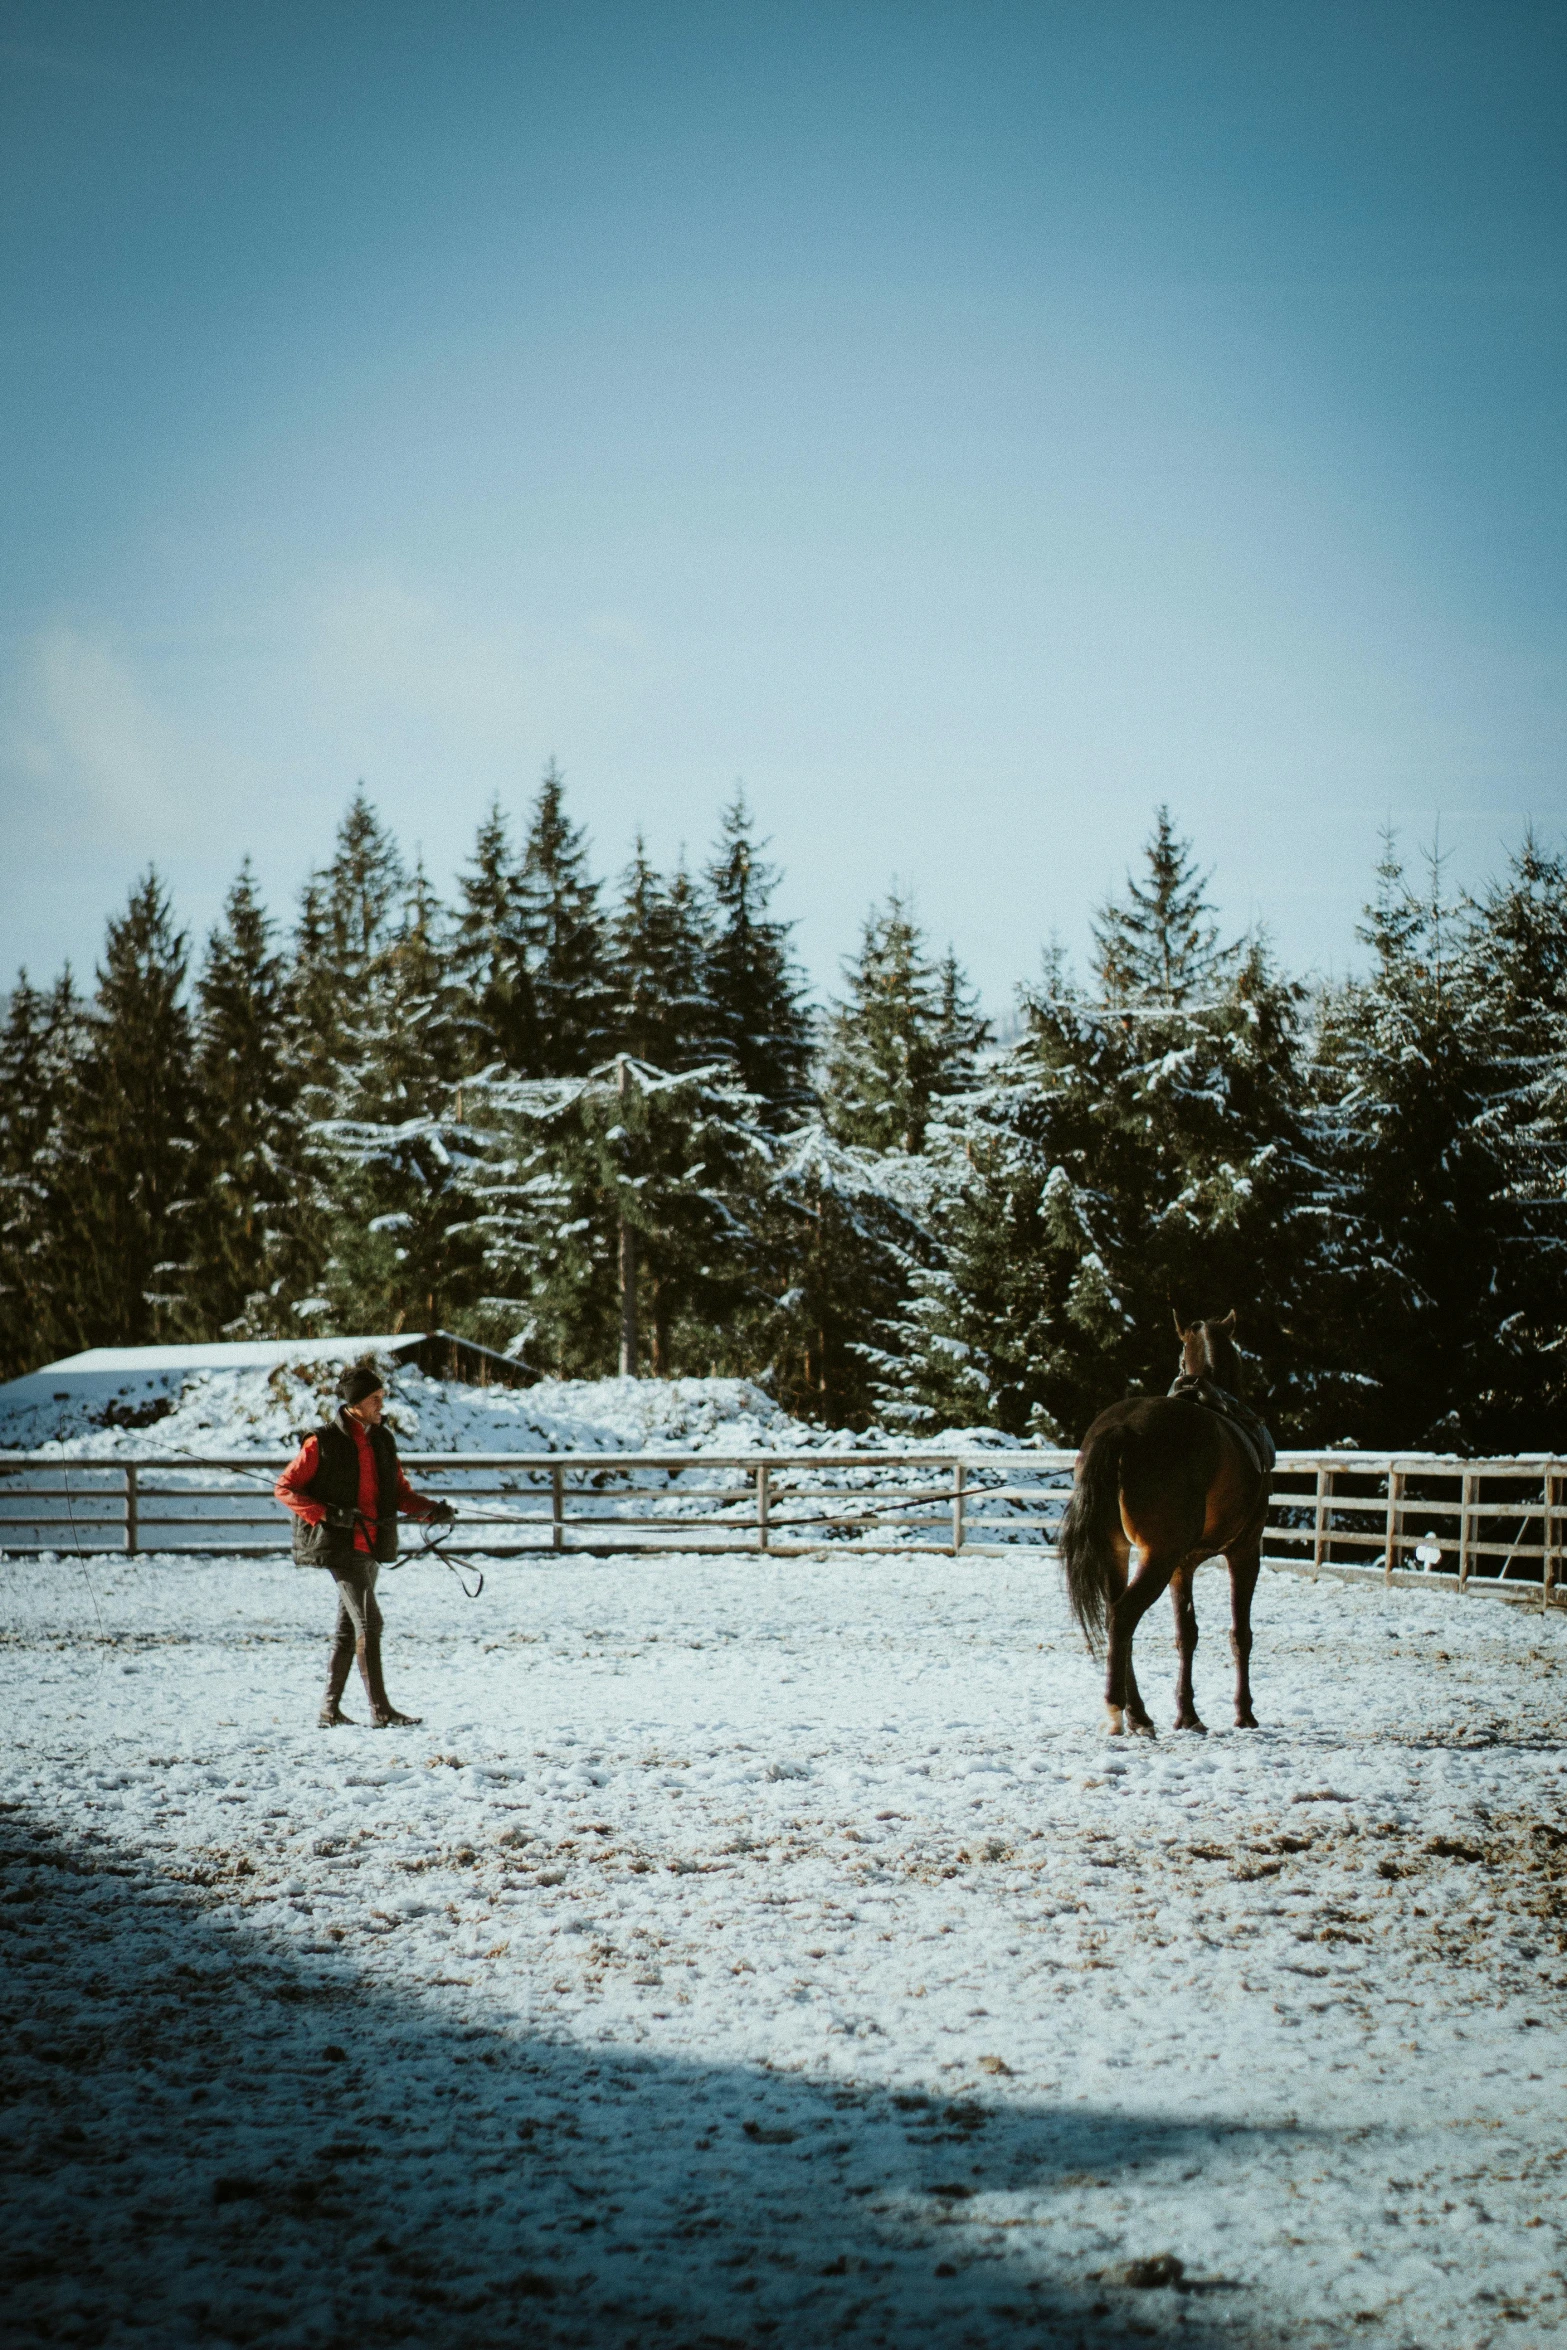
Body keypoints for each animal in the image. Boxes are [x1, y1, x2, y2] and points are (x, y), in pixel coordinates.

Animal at [1061, 1316, 1278, 1738]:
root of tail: (1122, 1430)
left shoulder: (1183, 1564)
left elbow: (1185, 1635)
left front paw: (1187, 1714)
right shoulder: (1246, 1549)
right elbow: (1240, 1634)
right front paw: (1244, 1713)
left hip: (1119, 1551)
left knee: (1116, 1620)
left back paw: (1138, 1715)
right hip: (1158, 1556)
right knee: (1124, 1616)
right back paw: (1116, 1711)